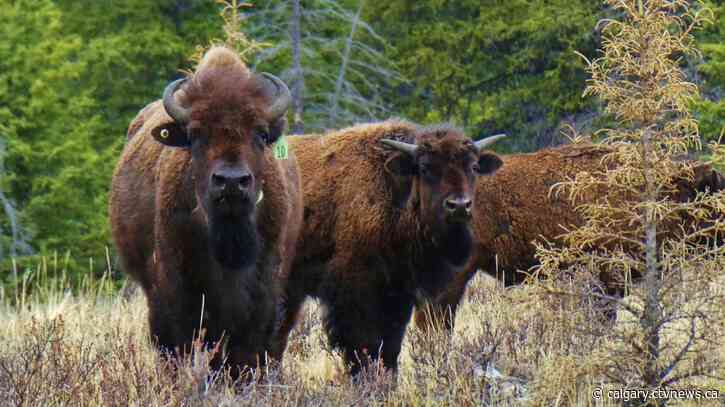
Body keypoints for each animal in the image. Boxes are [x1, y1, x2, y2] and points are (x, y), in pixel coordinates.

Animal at [109, 45, 302, 380]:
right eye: (196, 134)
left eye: (260, 133)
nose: (231, 181)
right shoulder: (177, 293)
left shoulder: (263, 295)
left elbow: (248, 354)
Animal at [274, 121, 506, 376]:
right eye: (424, 168)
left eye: (473, 167)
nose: (459, 206)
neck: (393, 191)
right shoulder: (355, 294)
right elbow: (362, 346)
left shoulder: (398, 295)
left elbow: (390, 348)